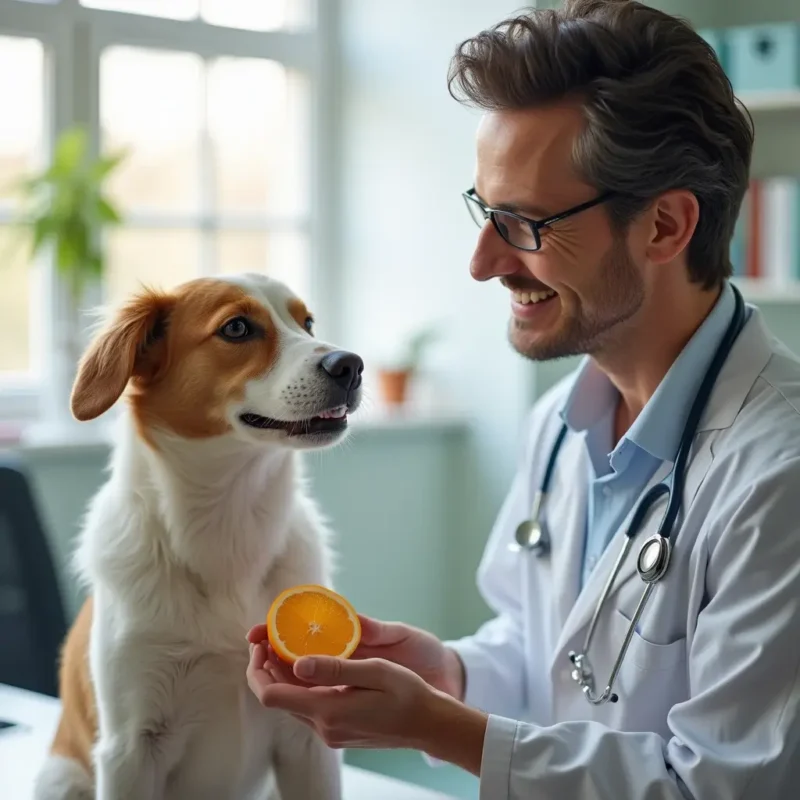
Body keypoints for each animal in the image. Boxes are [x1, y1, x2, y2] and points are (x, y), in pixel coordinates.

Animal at [34, 274, 362, 800]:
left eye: (307, 323)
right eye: (236, 328)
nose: (350, 365)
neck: (228, 521)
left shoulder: (308, 739)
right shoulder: (130, 748)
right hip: (62, 778)